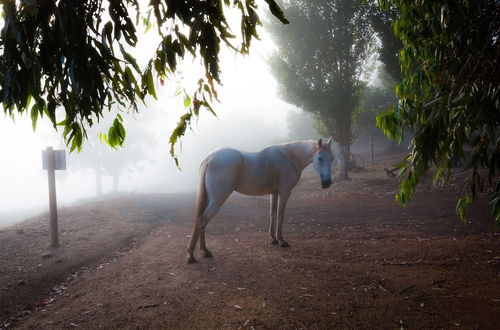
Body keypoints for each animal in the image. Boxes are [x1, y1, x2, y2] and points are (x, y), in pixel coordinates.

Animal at [186, 137, 334, 262]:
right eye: (320, 158)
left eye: (332, 158)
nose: (327, 183)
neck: (288, 157)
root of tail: (209, 159)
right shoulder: (284, 192)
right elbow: (280, 215)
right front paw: (281, 240)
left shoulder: (274, 193)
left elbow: (272, 214)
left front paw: (273, 239)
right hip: (217, 199)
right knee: (202, 221)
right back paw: (191, 255)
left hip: (209, 199)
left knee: (202, 221)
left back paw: (205, 251)